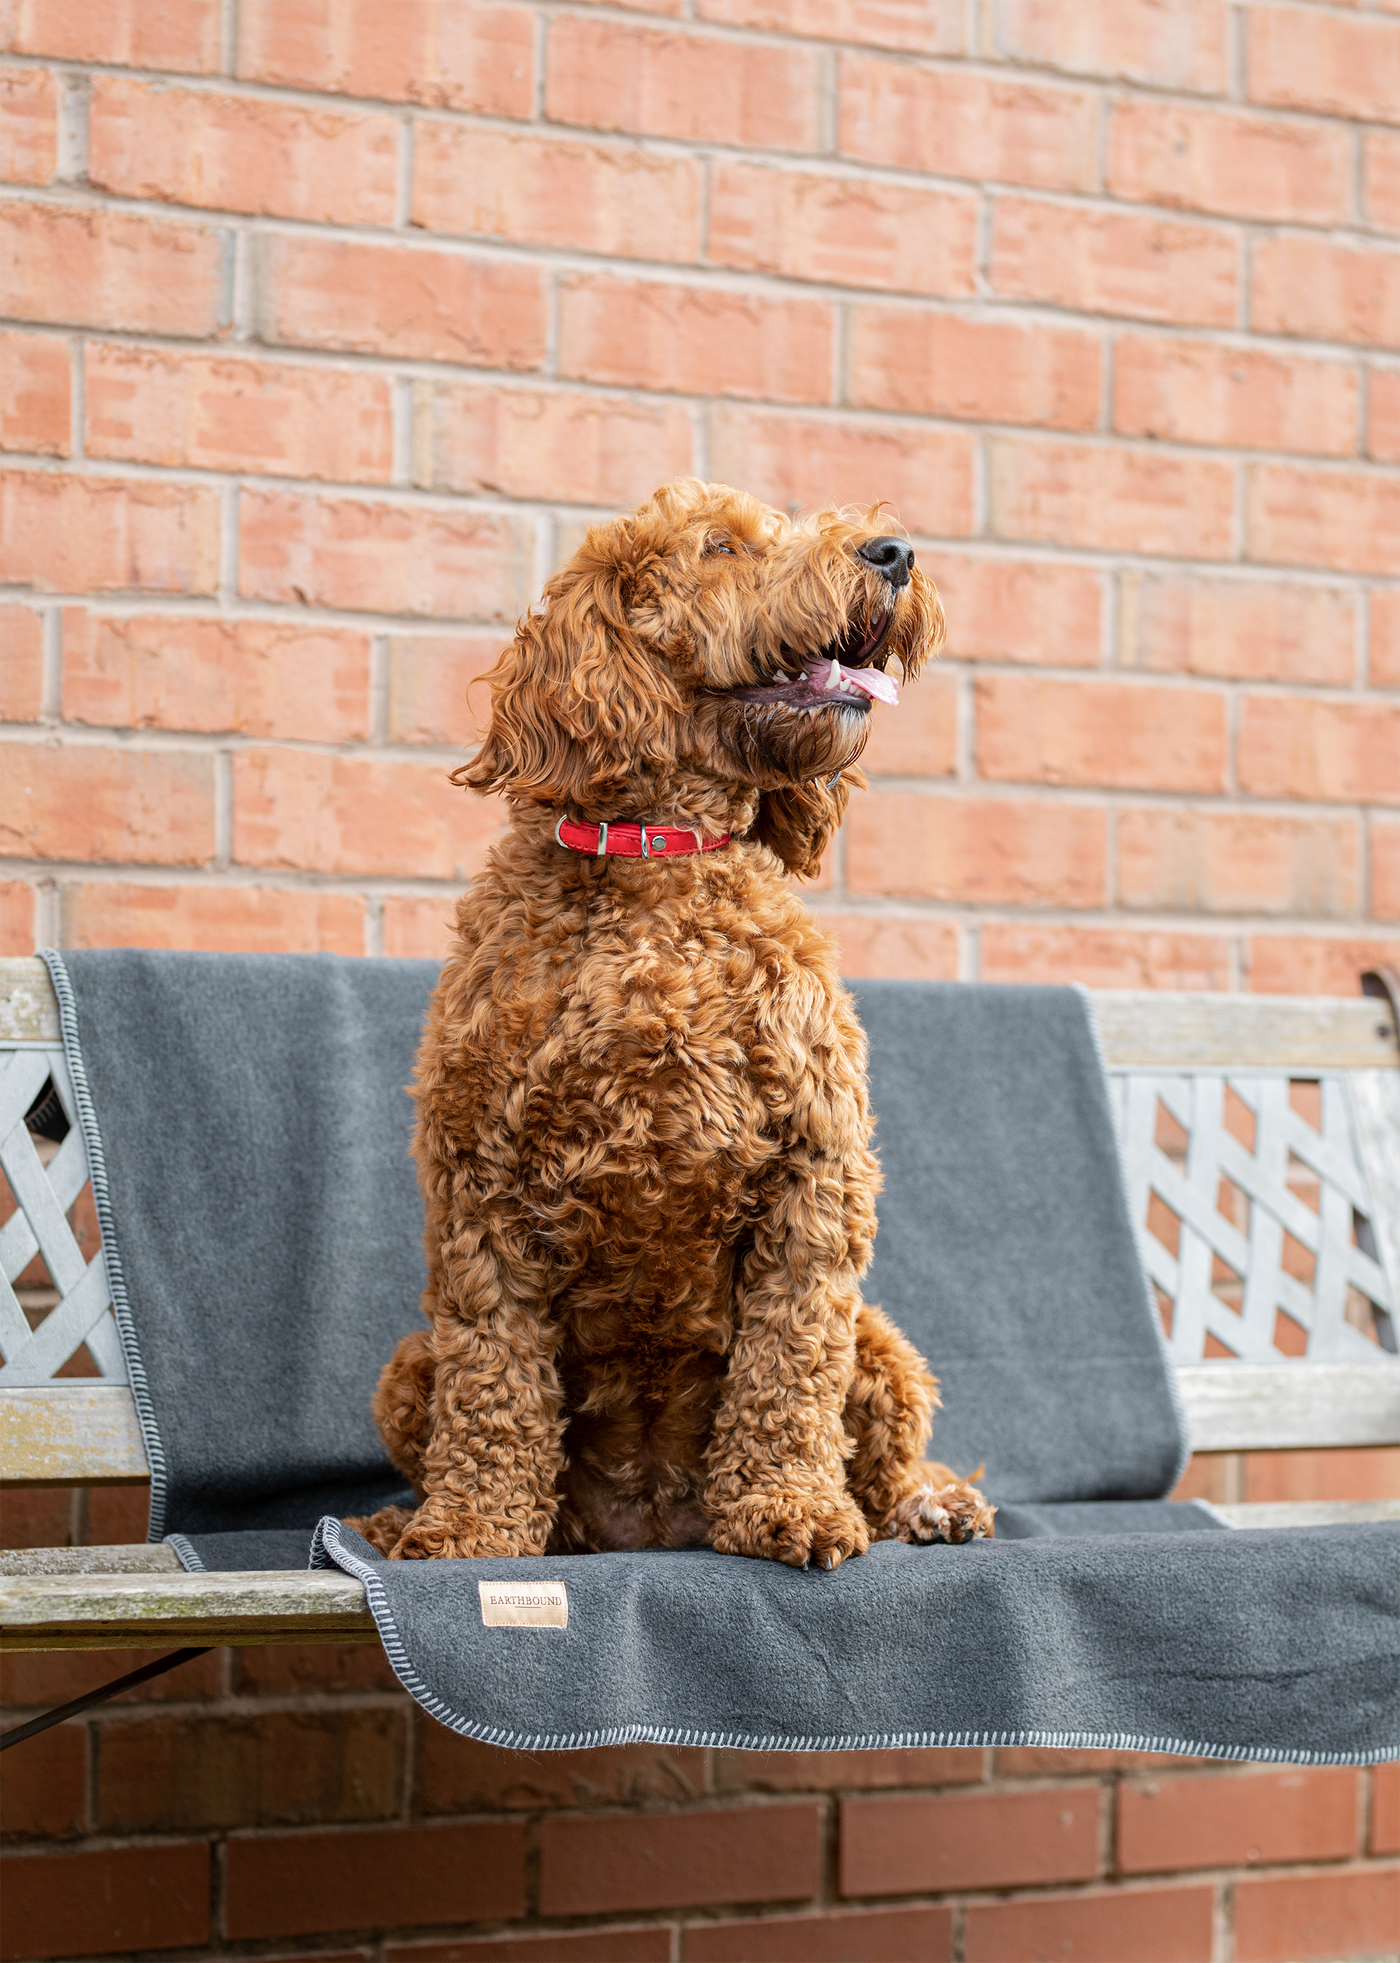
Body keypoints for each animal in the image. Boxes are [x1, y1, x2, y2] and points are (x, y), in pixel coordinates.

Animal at [349, 482, 993, 1570]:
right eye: (722, 547)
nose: (894, 552)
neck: (665, 864)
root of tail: (650, 1519)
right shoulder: (481, 1186)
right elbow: (493, 1382)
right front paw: (470, 1529)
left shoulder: (813, 1181)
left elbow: (789, 1369)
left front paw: (788, 1505)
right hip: (406, 1362)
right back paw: (405, 1516)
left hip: (879, 1340)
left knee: (889, 1448)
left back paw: (922, 1504)